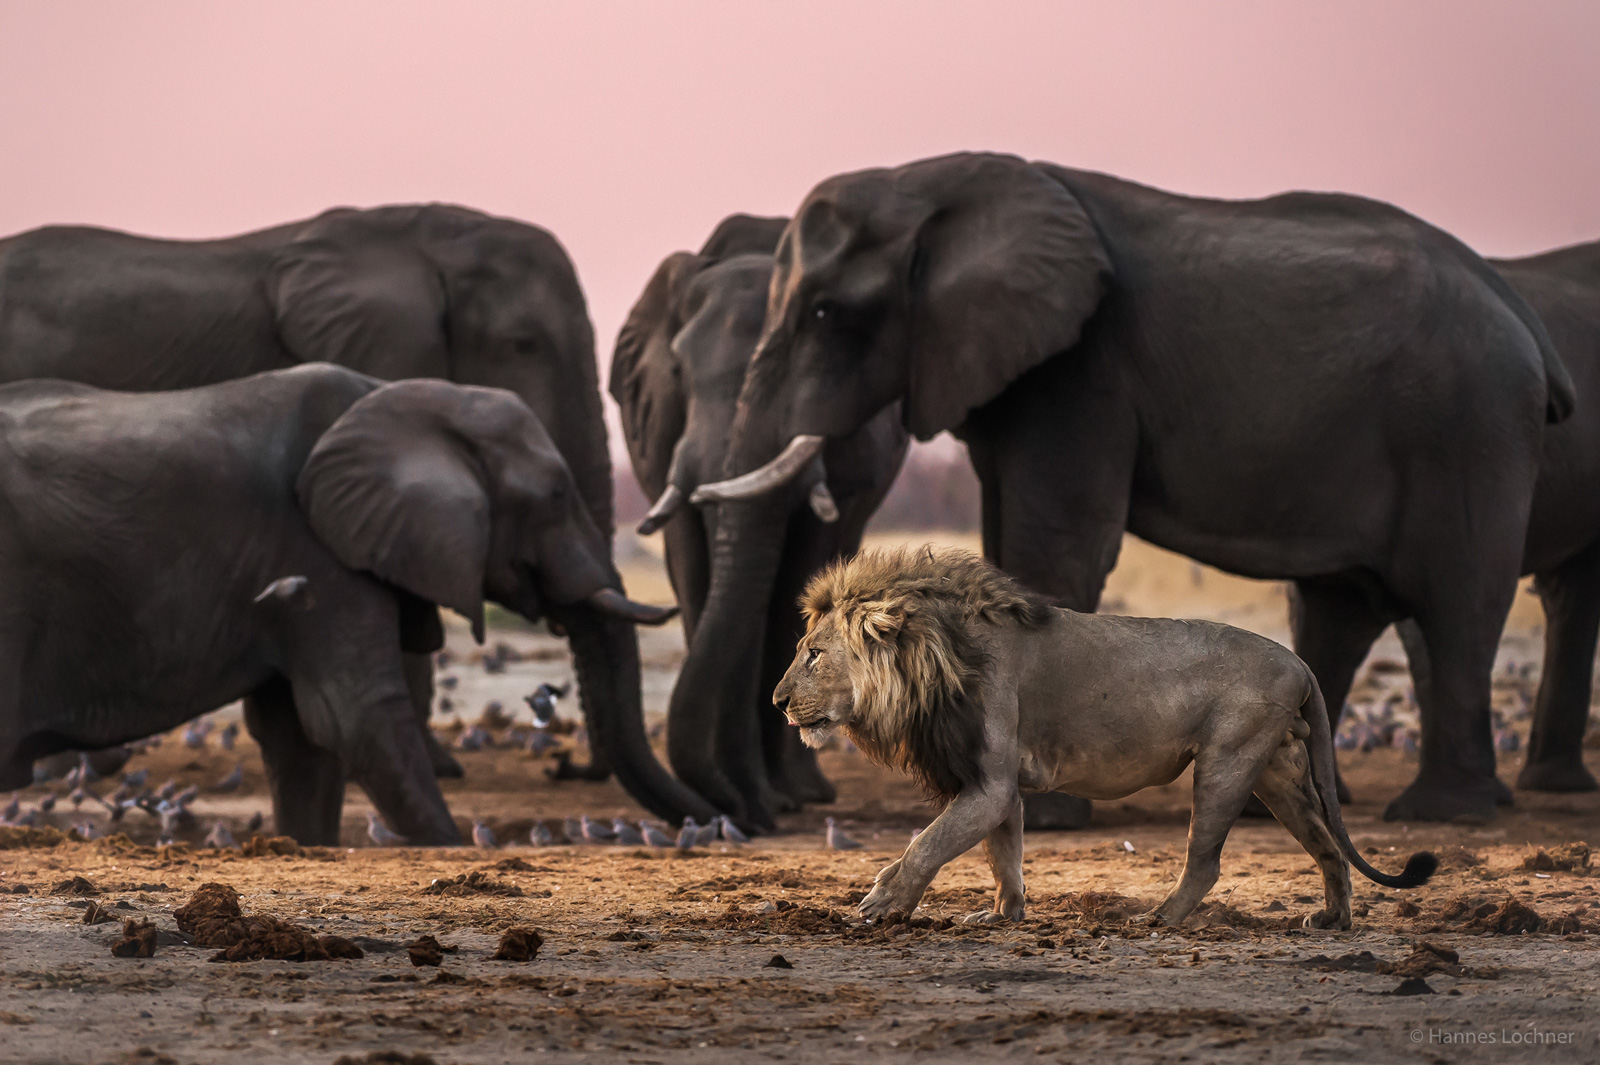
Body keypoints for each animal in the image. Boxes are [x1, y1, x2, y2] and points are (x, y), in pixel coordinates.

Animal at [0, 361, 681, 844]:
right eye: (557, 494)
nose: (563, 767)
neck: (405, 399)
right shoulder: (317, 545)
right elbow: (355, 714)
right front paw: (446, 844)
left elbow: (301, 735)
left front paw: (308, 842)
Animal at [608, 215, 915, 825]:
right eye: (678, 370)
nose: (750, 815)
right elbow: (698, 577)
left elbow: (794, 584)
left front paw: (777, 798)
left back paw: (804, 792)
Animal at [694, 151, 1568, 818]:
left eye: (823, 313)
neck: (930, 180)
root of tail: (1525, 318)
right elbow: (1007, 533)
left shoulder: (1082, 367)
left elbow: (1058, 537)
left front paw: (1046, 813)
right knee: (1341, 609)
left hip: (1469, 426)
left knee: (1459, 602)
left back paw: (1442, 813)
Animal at [774, 543, 1440, 927]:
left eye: (813, 654)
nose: (777, 702)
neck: (934, 656)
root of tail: (1299, 662)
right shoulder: (996, 784)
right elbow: (1003, 852)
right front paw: (1003, 915)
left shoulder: (987, 783)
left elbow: (928, 843)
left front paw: (883, 904)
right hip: (1278, 771)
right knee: (1328, 844)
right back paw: (1334, 920)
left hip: (1227, 761)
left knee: (1206, 859)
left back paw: (1161, 918)